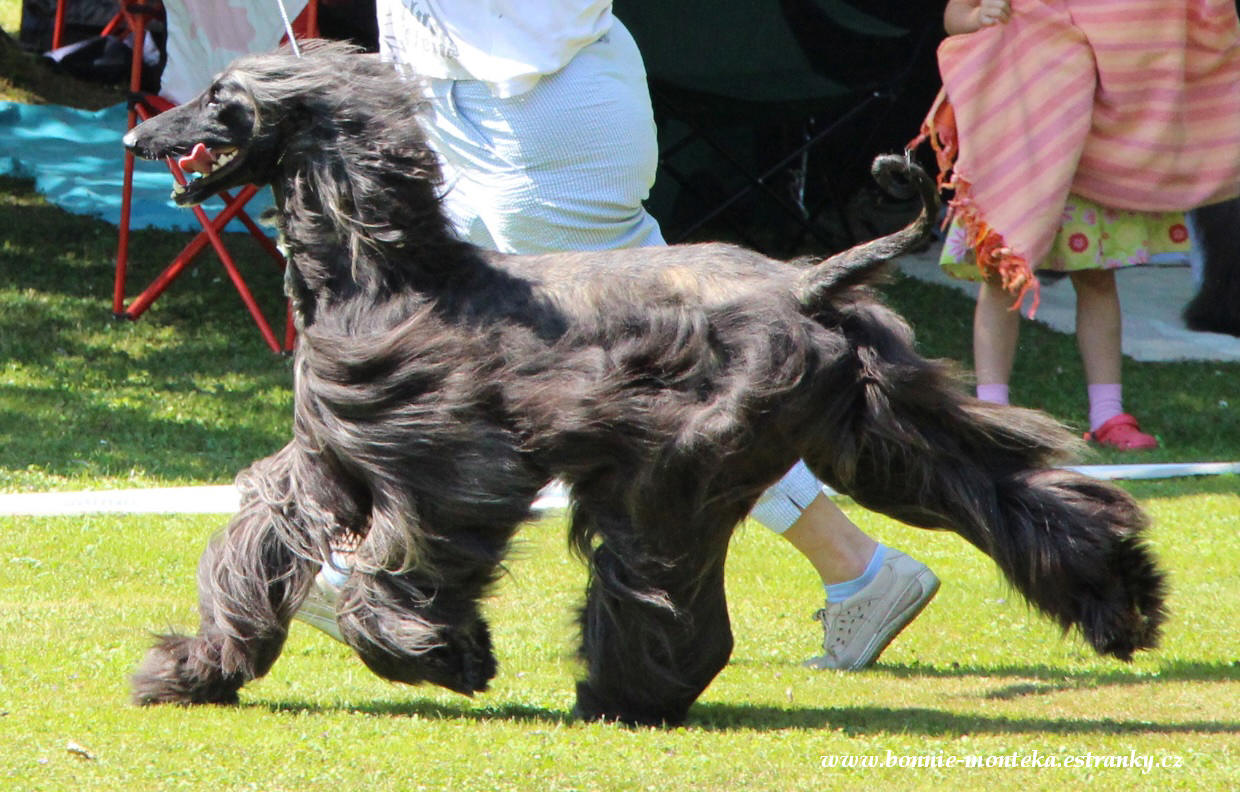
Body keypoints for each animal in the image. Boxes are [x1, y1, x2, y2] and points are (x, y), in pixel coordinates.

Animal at [125, 41, 1160, 723]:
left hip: (677, 464)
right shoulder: (326, 462)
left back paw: (625, 693)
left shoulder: (452, 463)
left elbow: (409, 566)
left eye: (219, 97)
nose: (139, 135)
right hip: (882, 427)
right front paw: (193, 668)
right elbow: (254, 547)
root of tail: (806, 280)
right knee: (1023, 495)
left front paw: (443, 654)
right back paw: (1125, 603)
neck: (383, 274)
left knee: (662, 585)